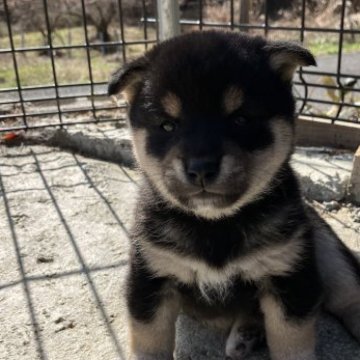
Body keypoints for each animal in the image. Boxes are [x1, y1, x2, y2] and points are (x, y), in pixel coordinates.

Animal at [107, 31, 360, 360]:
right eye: (167, 125)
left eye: (240, 119)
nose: (201, 167)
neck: (215, 225)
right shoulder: (150, 277)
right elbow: (149, 342)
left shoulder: (289, 277)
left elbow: (291, 342)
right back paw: (246, 335)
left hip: (325, 247)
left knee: (350, 295)